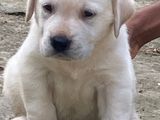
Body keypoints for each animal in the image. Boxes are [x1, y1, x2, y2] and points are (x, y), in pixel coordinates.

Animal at [2, 0, 138, 120]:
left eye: (88, 13)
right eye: (47, 7)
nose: (59, 42)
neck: (74, 64)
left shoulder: (114, 82)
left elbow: (114, 112)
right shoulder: (34, 72)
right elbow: (41, 109)